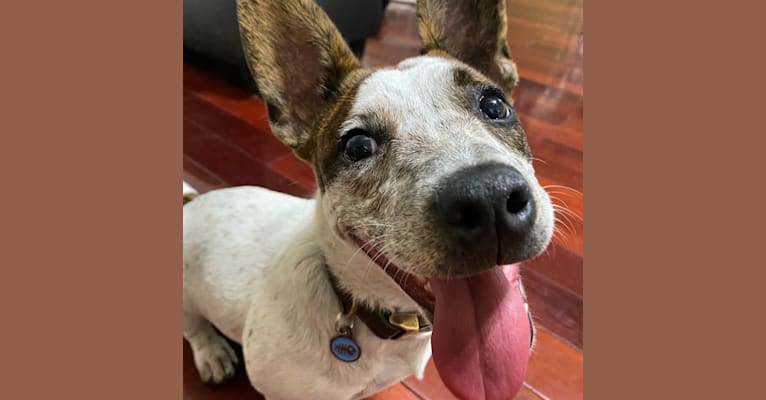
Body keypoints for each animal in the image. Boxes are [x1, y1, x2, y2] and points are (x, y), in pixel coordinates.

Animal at [183, 0, 556, 400]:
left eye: (494, 105)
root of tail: (192, 200)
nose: (489, 197)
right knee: (193, 328)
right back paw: (212, 352)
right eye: (358, 146)